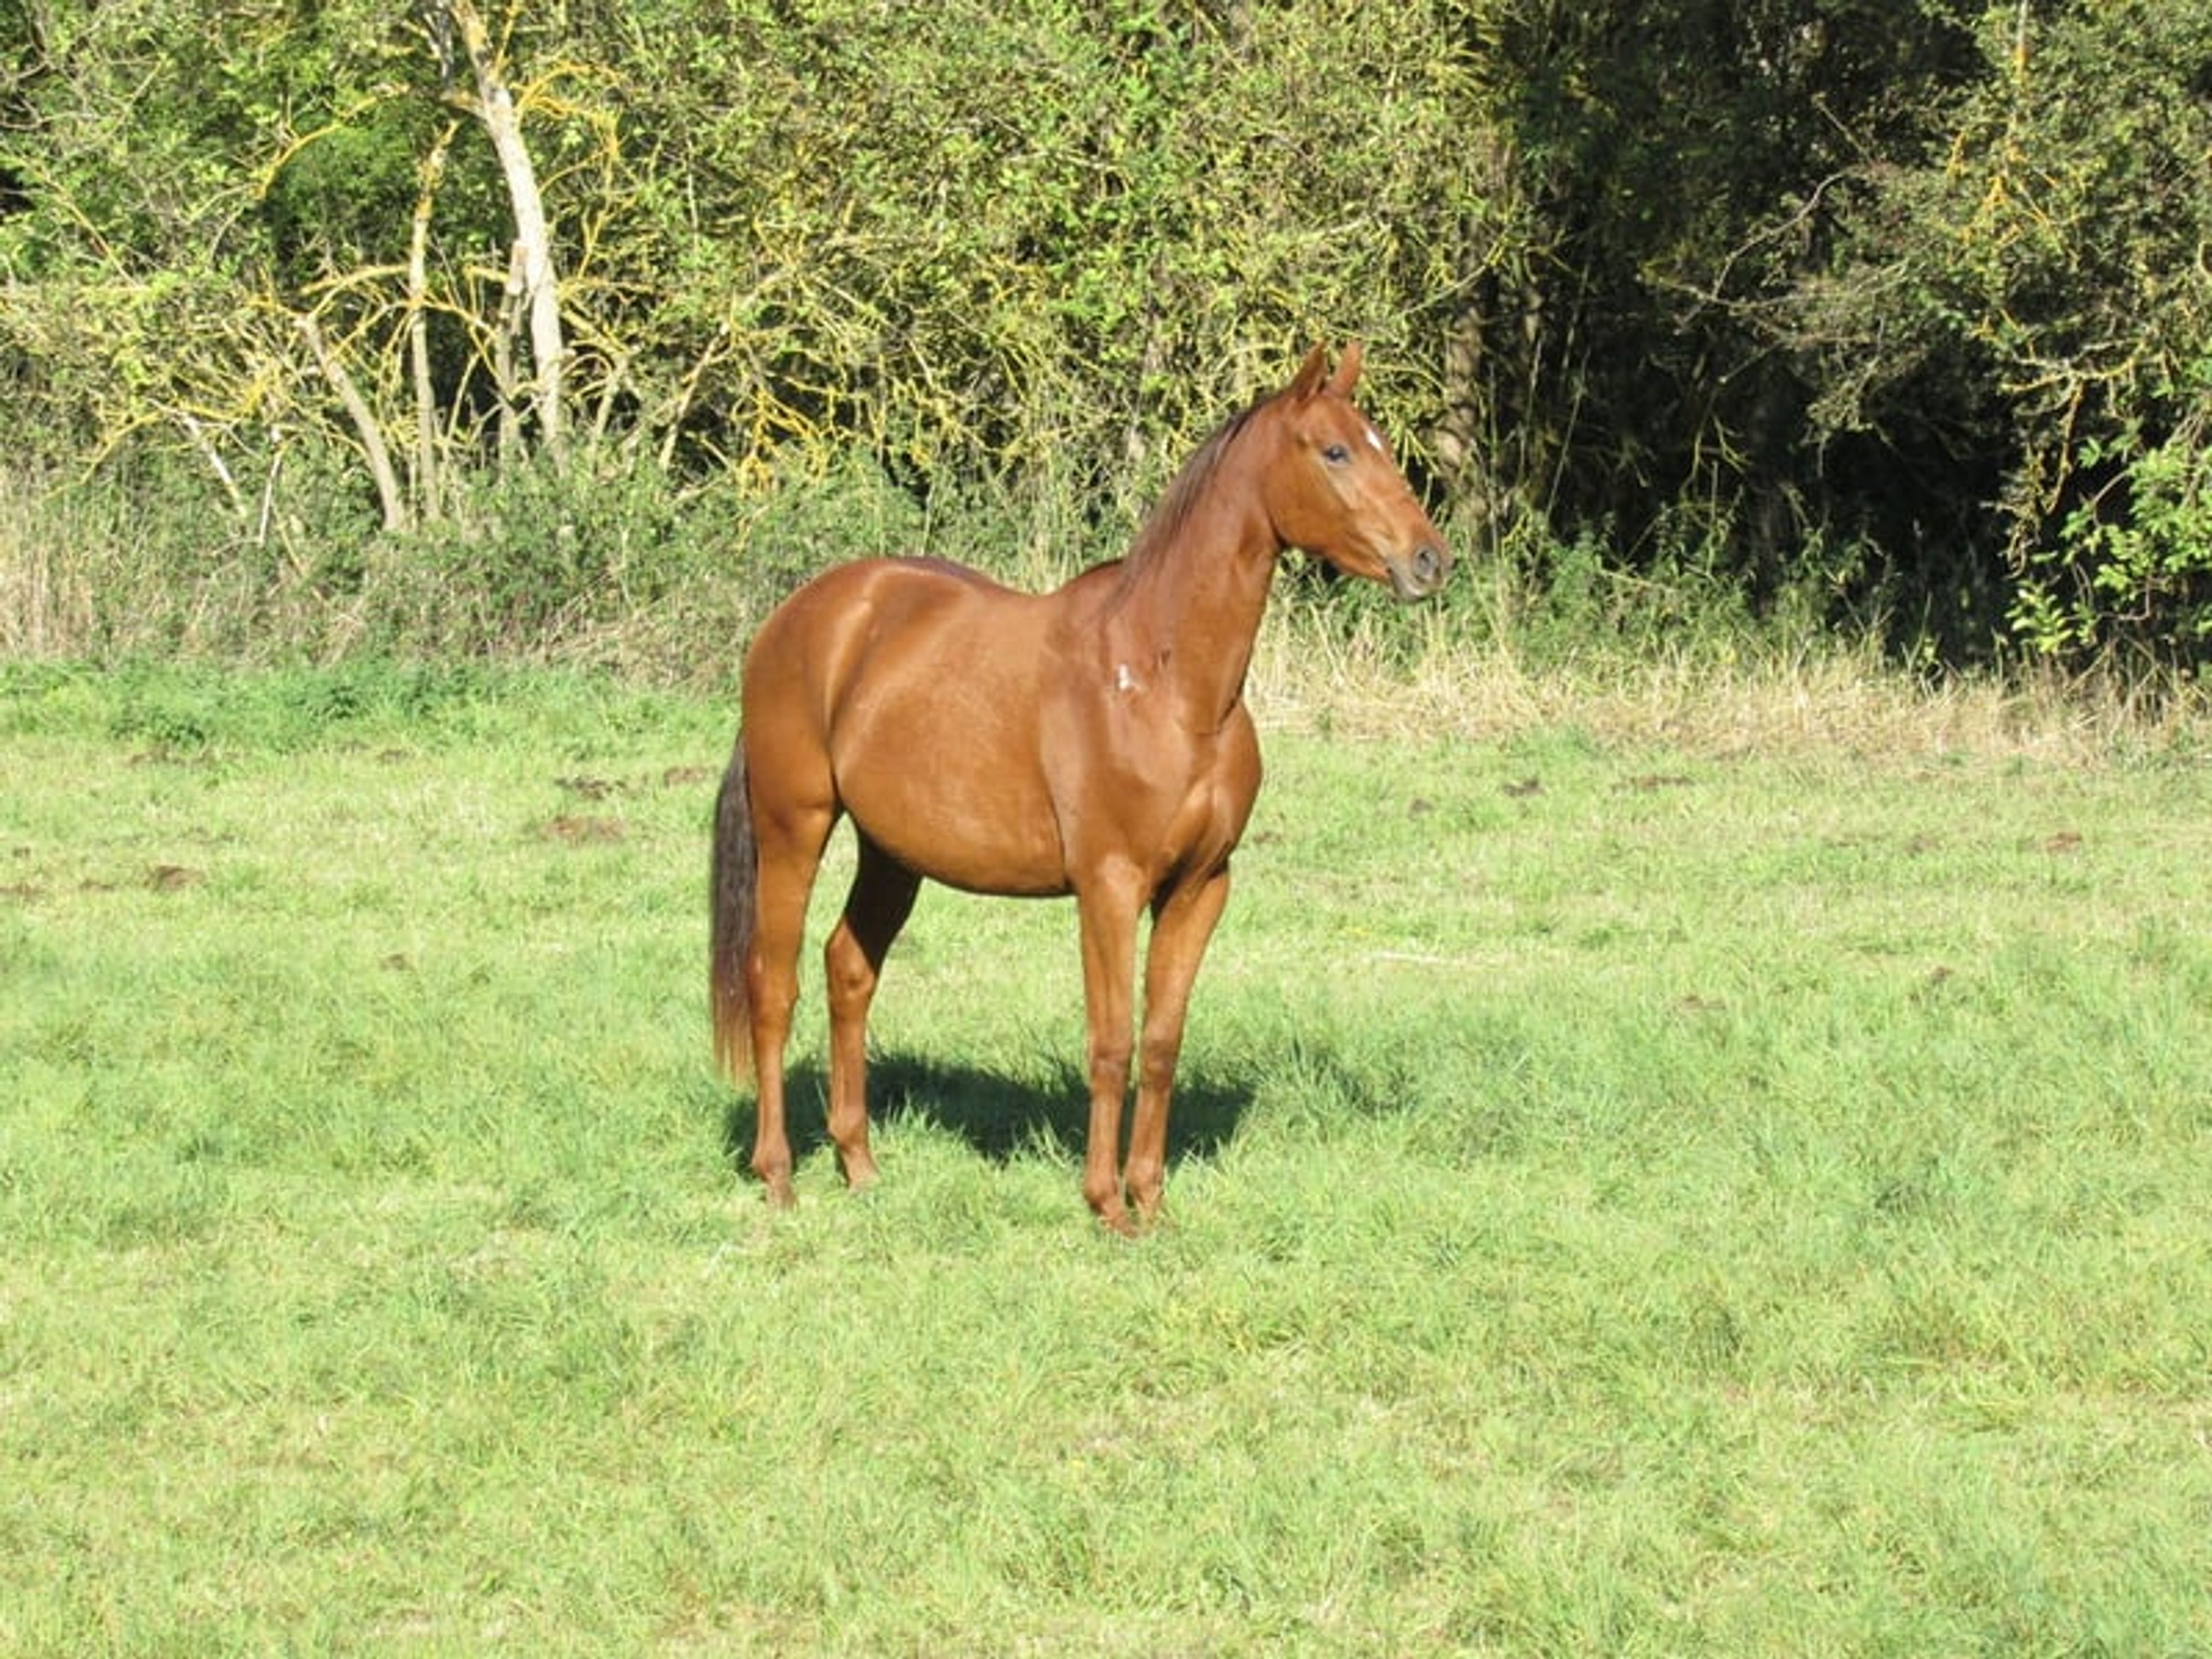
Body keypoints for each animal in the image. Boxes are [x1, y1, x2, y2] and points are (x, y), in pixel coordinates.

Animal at [709, 343, 1449, 1232]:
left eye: (1381, 445)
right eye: (1335, 451)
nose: (1430, 560)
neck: (1165, 684)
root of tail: (800, 620)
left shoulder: (1202, 888)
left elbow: (1160, 1043)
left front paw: (1152, 1202)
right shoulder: (1109, 886)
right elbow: (1111, 1041)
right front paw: (1108, 1207)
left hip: (892, 852)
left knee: (849, 968)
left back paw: (860, 1166)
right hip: (795, 826)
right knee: (772, 985)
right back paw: (780, 1176)